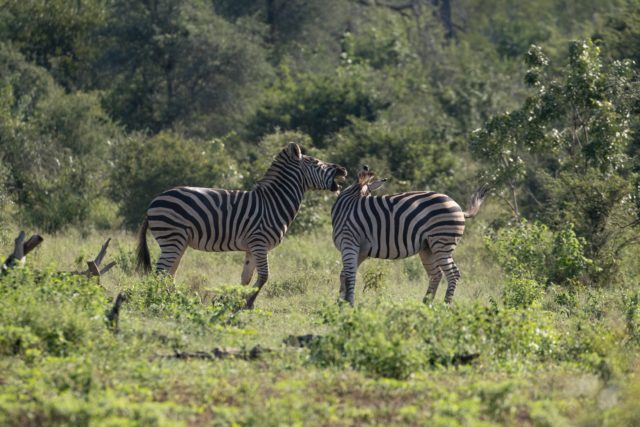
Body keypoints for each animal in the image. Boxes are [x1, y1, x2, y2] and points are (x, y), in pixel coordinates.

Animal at [136, 143, 347, 308]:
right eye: (317, 163)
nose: (343, 170)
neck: (273, 202)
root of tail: (154, 201)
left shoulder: (252, 247)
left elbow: (247, 278)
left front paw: (236, 300)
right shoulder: (259, 242)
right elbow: (264, 276)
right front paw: (248, 302)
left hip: (179, 242)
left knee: (169, 272)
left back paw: (175, 298)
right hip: (172, 238)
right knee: (161, 271)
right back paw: (163, 298)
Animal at [331, 166, 488, 305]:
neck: (345, 206)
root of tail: (460, 209)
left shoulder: (349, 243)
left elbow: (349, 275)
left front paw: (348, 304)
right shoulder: (360, 251)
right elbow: (344, 274)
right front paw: (340, 303)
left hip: (442, 243)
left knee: (453, 274)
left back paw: (445, 306)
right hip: (428, 248)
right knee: (436, 274)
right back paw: (426, 305)